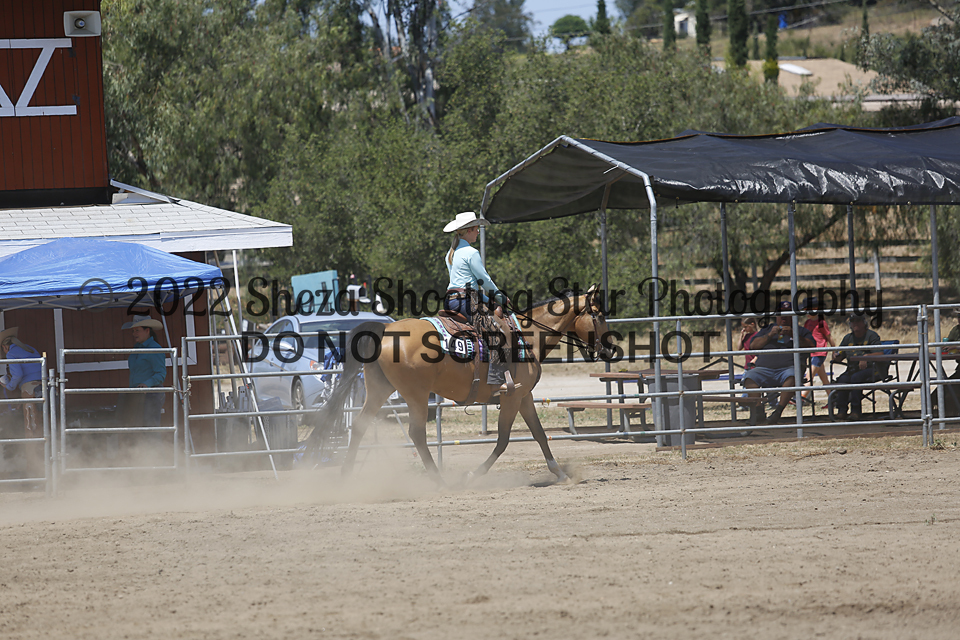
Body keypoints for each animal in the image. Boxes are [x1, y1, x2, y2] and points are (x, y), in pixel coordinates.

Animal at [306, 286, 614, 484]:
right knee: (417, 433)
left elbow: (539, 434)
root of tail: (385, 331)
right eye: (598, 315)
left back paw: (346, 476)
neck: (527, 337)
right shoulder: (512, 397)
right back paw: (438, 479)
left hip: (380, 389)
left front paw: (560, 473)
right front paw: (473, 474)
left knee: (360, 425)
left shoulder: (524, 397)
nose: (610, 349)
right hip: (416, 394)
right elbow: (503, 440)